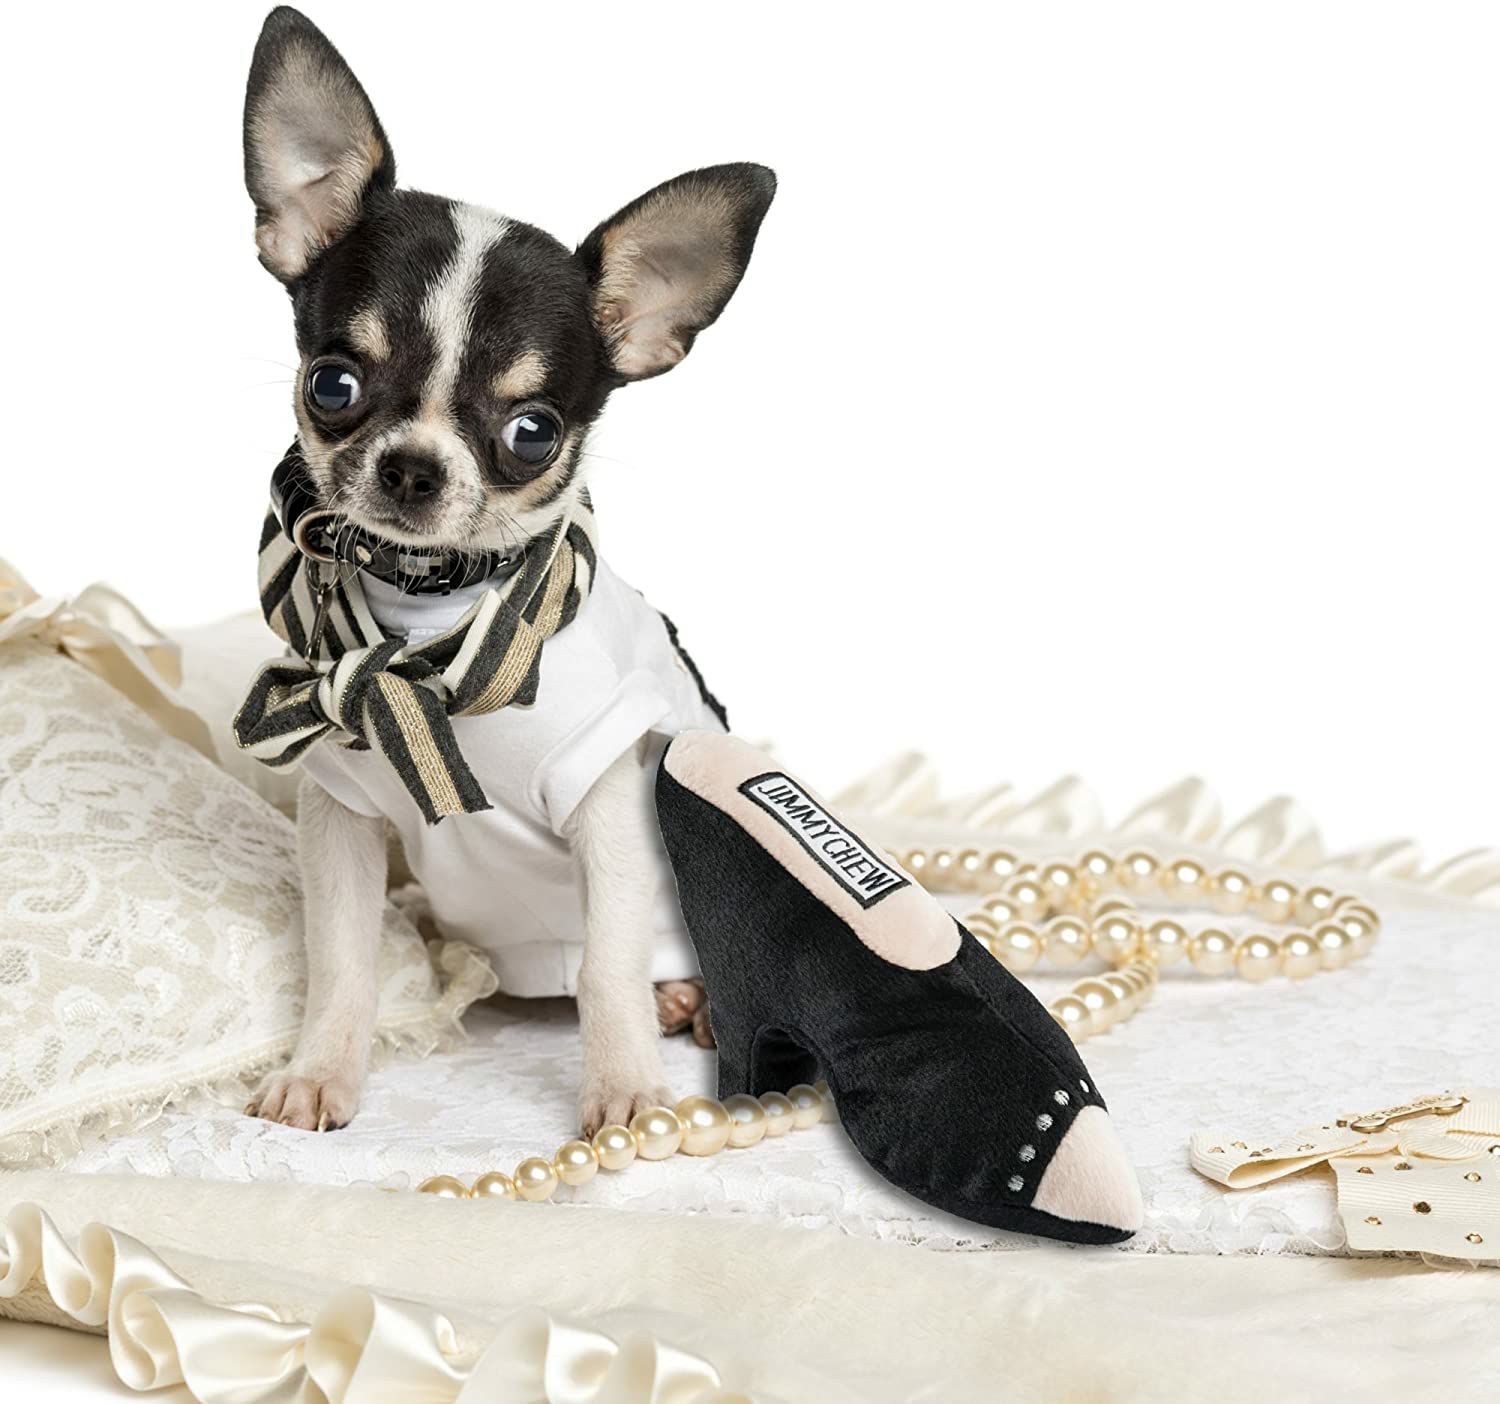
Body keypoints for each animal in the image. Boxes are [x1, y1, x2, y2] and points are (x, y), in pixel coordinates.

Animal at [240, 7, 773, 1137]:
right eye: (332, 384)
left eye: (533, 433)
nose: (412, 466)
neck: (429, 623)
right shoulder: (340, 819)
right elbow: (341, 957)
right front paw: (322, 1069)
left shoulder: (612, 810)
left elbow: (609, 966)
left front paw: (625, 1093)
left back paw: (693, 1002)